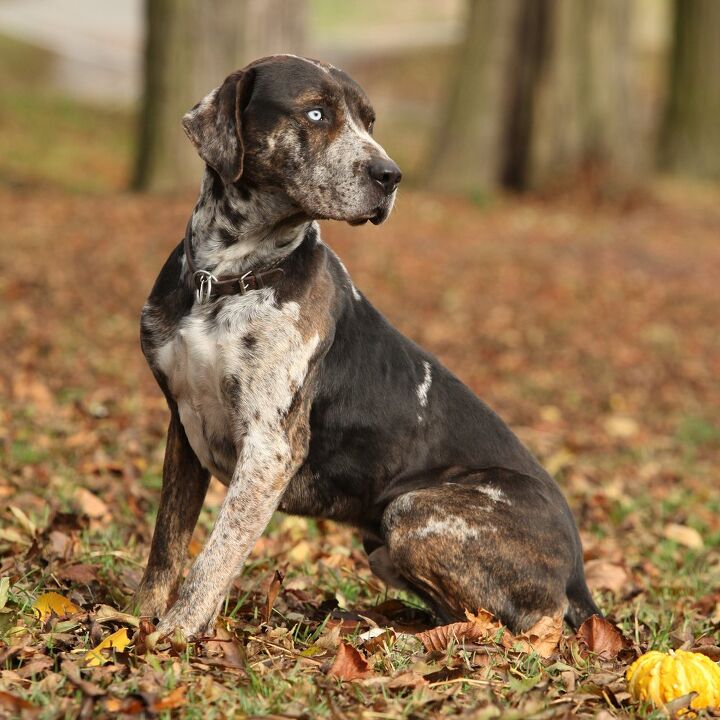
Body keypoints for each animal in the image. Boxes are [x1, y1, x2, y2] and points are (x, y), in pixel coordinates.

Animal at [135, 56, 600, 640]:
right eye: (316, 113)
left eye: (370, 122)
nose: (390, 176)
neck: (224, 278)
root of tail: (579, 574)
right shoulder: (183, 426)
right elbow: (167, 545)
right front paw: (136, 622)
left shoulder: (269, 449)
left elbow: (214, 557)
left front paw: (174, 635)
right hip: (383, 542)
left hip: (414, 512)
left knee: (528, 623)